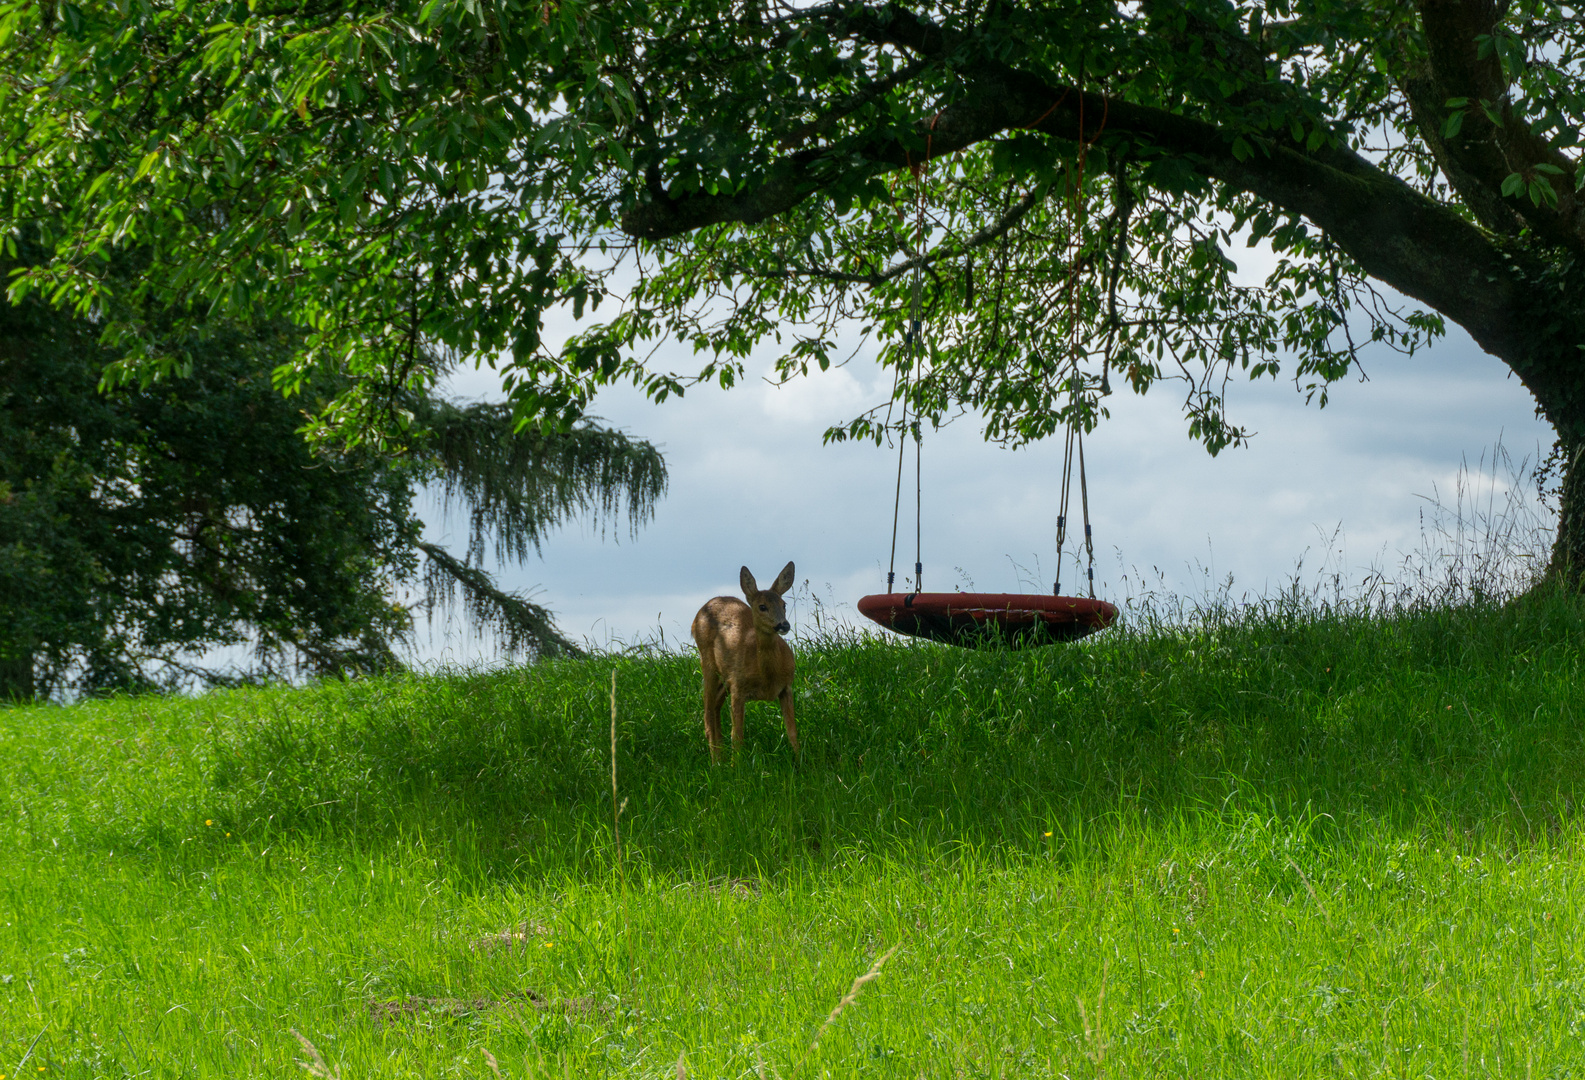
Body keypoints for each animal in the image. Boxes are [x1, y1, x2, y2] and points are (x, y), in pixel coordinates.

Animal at [691, 561, 798, 761]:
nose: (784, 625)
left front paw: (800, 760)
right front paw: (738, 765)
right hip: (708, 663)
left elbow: (792, 731)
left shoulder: (787, 687)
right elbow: (737, 735)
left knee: (715, 706)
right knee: (707, 714)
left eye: (784, 604)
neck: (767, 676)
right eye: (762, 606)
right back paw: (716, 761)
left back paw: (721, 756)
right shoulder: (739, 689)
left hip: (726, 678)